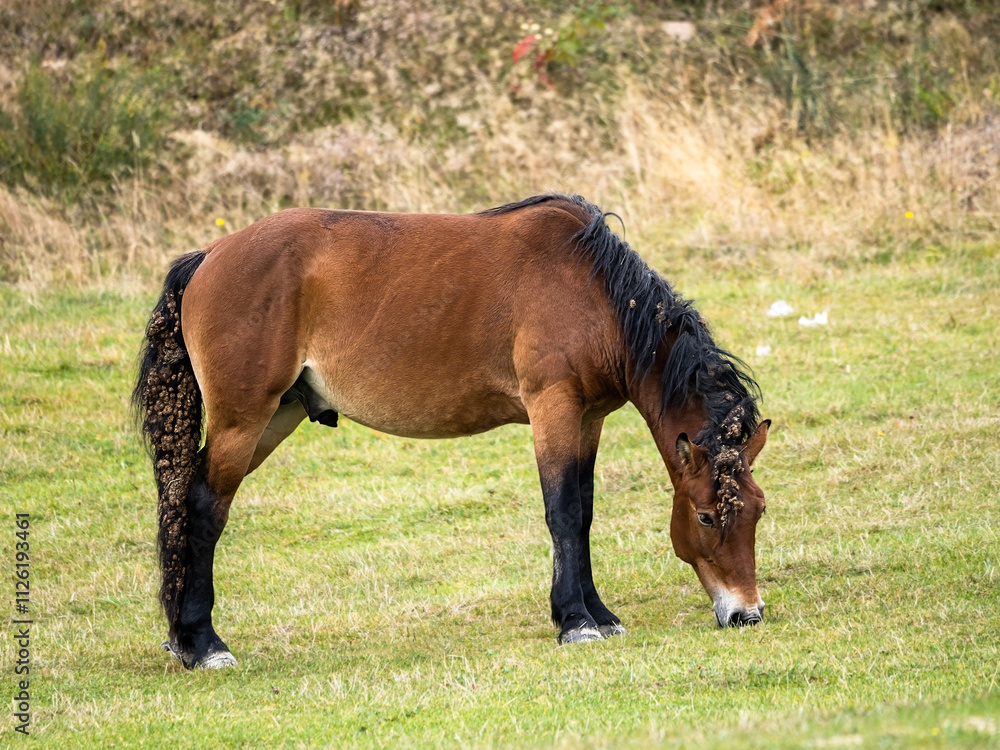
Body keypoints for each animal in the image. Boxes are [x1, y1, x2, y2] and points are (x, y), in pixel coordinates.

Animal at [133, 194, 771, 670]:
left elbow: (584, 513)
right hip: (243, 422)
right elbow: (562, 512)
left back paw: (184, 638)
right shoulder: (554, 409)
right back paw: (204, 643)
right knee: (204, 509)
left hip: (276, 417)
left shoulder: (587, 419)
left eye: (758, 510)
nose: (747, 613)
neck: (595, 292)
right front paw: (575, 622)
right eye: (707, 516)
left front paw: (600, 614)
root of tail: (209, 256)